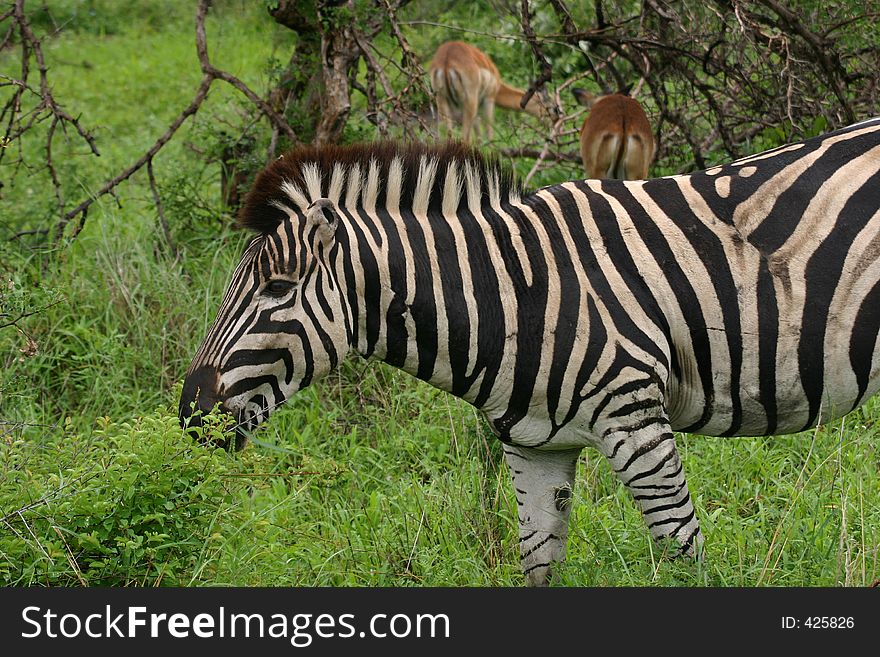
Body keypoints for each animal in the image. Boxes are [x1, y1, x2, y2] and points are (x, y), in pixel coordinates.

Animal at [179, 118, 880, 584]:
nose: (190, 415)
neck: (517, 295)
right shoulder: (535, 446)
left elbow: (684, 558)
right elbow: (537, 567)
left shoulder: (635, 420)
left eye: (276, 289)